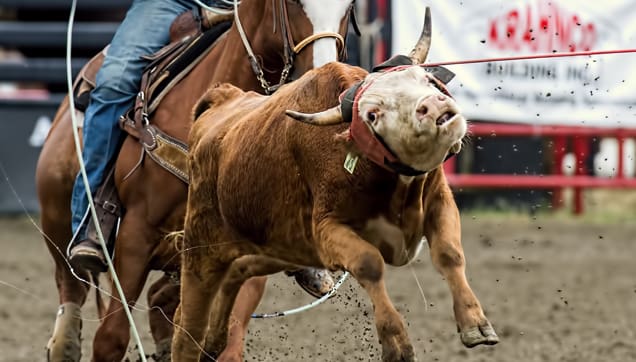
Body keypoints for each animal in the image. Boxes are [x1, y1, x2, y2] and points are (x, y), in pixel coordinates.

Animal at [36, 1, 352, 360]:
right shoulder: (134, 237)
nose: (325, 81)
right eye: (291, 4)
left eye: (349, 9)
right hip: (56, 217)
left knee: (161, 303)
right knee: (72, 284)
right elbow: (111, 338)